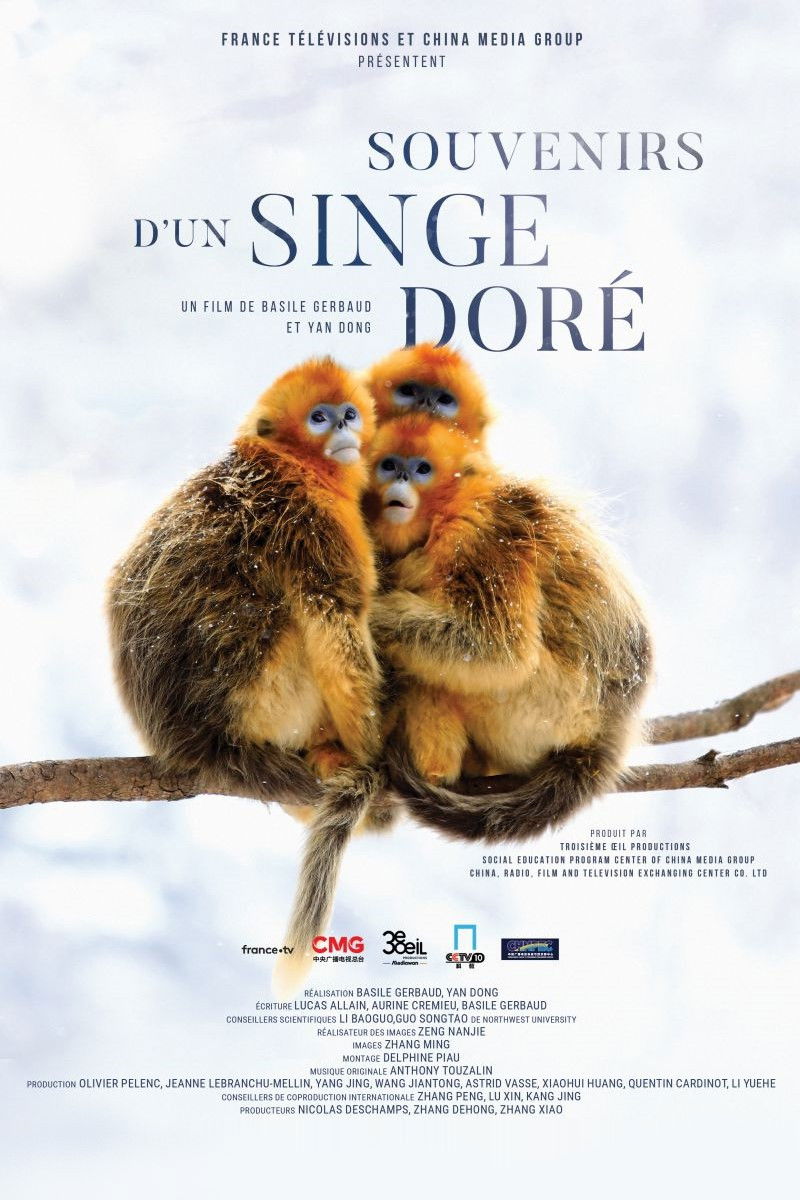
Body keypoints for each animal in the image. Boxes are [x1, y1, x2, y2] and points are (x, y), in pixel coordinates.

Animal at [106, 358, 385, 997]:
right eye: (319, 417)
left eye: (348, 411)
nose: (344, 428)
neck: (287, 462)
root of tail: (200, 743)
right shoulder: (310, 517)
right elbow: (332, 618)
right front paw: (373, 752)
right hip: (267, 695)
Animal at [363, 414, 652, 842]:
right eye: (388, 464)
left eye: (422, 469)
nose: (400, 478)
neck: (448, 508)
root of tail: (610, 732)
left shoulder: (480, 535)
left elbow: (500, 649)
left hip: (548, 706)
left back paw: (434, 768)